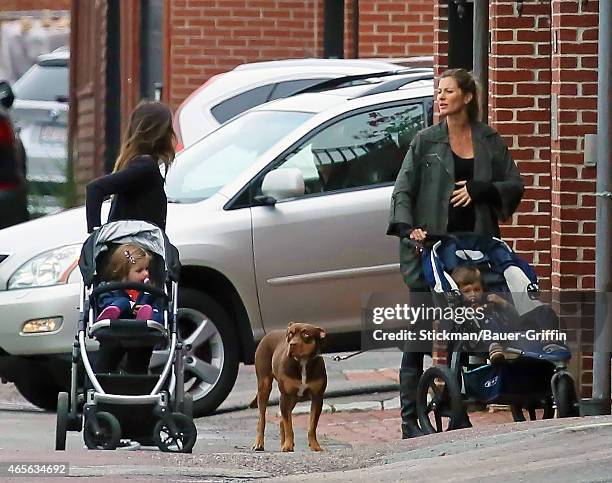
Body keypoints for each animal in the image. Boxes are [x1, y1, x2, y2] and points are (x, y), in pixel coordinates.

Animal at [251, 322, 328, 454]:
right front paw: (287, 445)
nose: (292, 344)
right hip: (264, 387)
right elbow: (289, 426)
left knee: (282, 419)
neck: (303, 362)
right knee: (262, 418)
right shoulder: (285, 397)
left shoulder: (317, 398)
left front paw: (315, 446)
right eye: (290, 334)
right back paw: (259, 444)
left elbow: (312, 426)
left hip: (294, 398)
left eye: (306, 334)